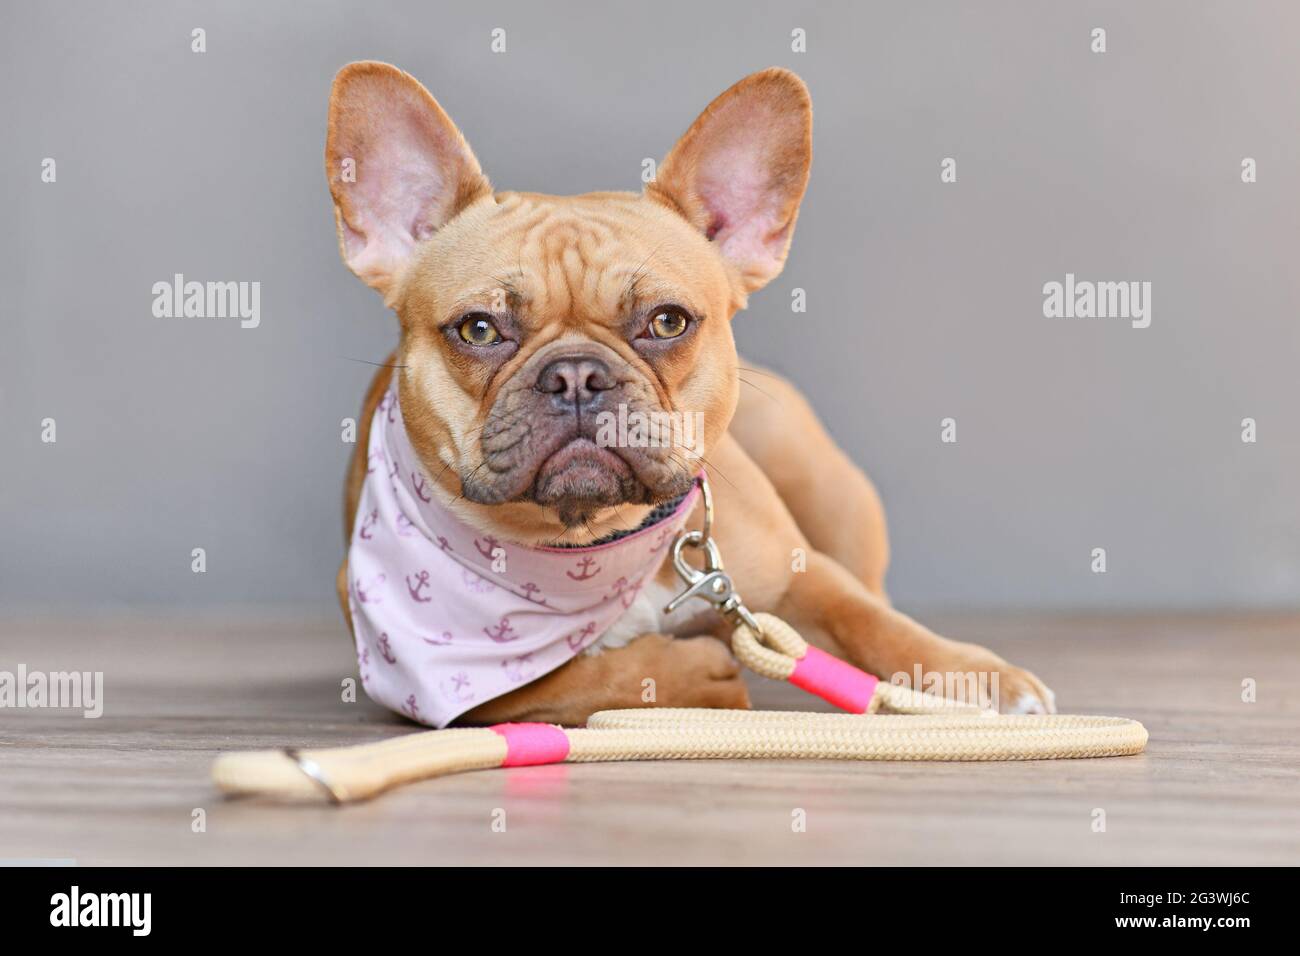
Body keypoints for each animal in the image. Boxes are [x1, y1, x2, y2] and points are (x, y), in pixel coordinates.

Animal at [325, 61, 1055, 723]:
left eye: (668, 321)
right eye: (478, 329)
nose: (576, 376)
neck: (597, 542)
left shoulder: (797, 571)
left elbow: (867, 618)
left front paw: (974, 676)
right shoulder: (419, 671)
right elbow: (555, 683)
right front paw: (696, 671)